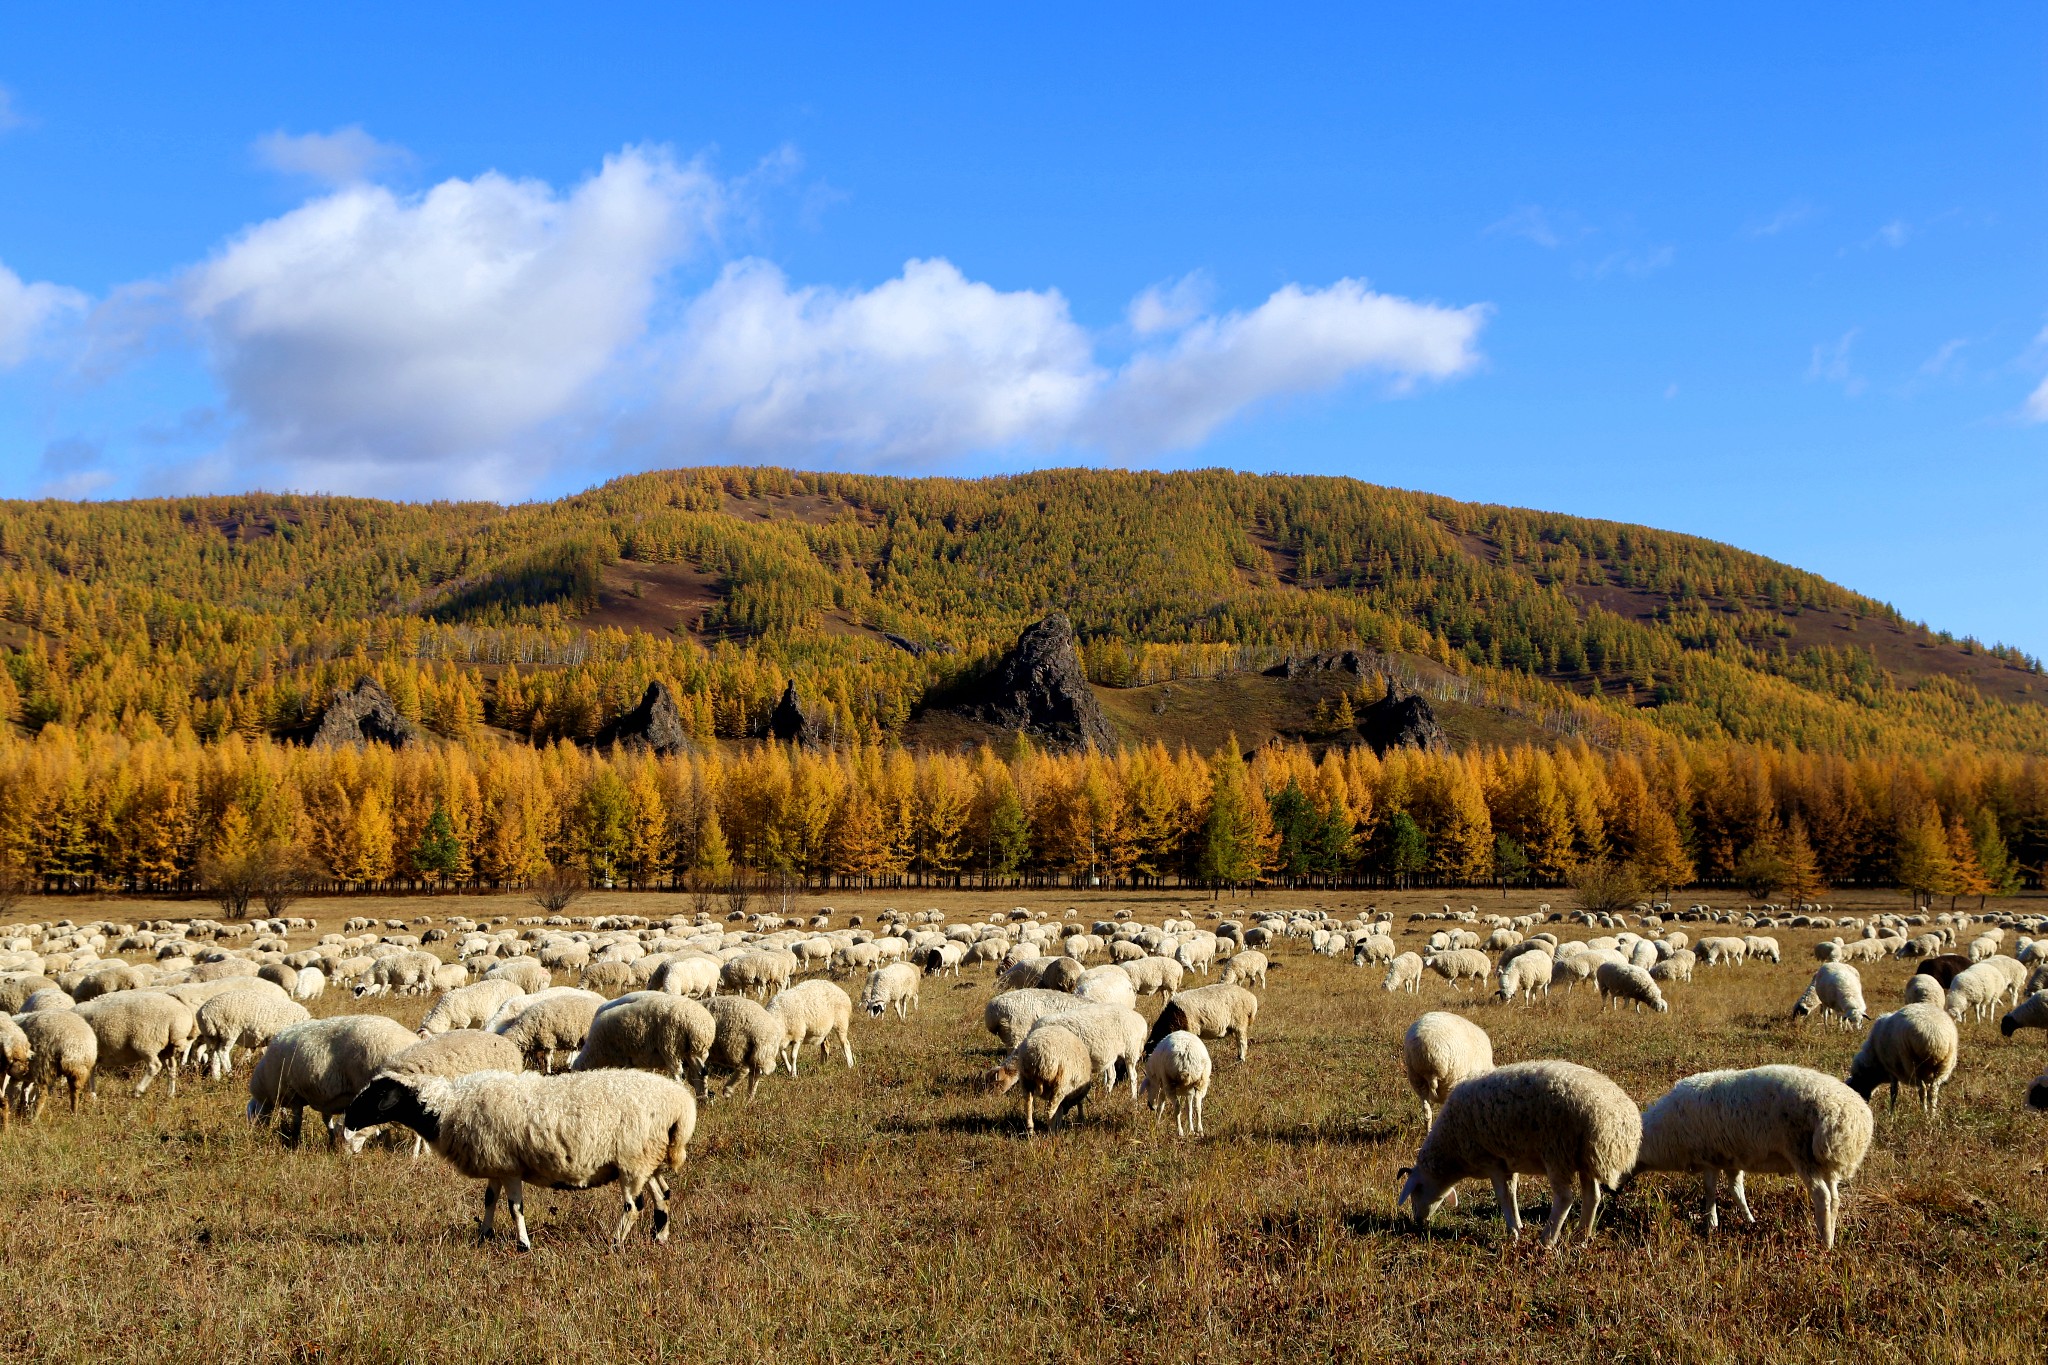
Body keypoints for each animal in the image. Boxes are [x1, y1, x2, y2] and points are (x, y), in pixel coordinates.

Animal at [69, 994, 197, 1096]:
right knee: (171, 1066)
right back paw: (170, 1093)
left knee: (154, 1065)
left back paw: (138, 1090)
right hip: (165, 1047)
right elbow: (91, 1073)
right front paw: (93, 1095)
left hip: (146, 1041)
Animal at [344, 1072, 696, 1252]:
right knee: (662, 1194)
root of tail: (681, 1103)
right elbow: (489, 1200)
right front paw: (483, 1237)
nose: (348, 1120)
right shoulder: (495, 1165)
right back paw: (660, 1236)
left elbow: (515, 1208)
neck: (447, 1109)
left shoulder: (510, 1166)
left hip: (632, 1158)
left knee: (633, 1206)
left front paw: (523, 1245)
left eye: (377, 1096)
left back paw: (615, 1244)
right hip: (647, 1158)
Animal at [573, 994, 716, 1088]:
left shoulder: (622, 1057)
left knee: (678, 1075)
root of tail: (700, 1024)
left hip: (670, 1047)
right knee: (702, 1072)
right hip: (694, 1051)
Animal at [1392, 1064, 1630, 1252]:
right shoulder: (1507, 1162)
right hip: (1586, 1159)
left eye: (1415, 1191)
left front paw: (1513, 1232)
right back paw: (1582, 1237)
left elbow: (1503, 1196)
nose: (1418, 1222)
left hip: (1557, 1153)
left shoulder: (1492, 1160)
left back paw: (1546, 1241)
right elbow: (1512, 1192)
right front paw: (1518, 1226)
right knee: (1592, 1196)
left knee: (1565, 1198)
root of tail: (1616, 1121)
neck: (1452, 1150)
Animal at [1630, 1064, 1875, 1252]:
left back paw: (1824, 1242)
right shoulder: (1731, 1159)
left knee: (1822, 1196)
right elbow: (1736, 1191)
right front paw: (1750, 1220)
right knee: (1834, 1198)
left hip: (1803, 1154)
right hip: (1827, 1162)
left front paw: (1711, 1223)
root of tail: (1850, 1119)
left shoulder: (1710, 1156)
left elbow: (1710, 1190)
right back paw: (1831, 1235)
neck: (1663, 1135)